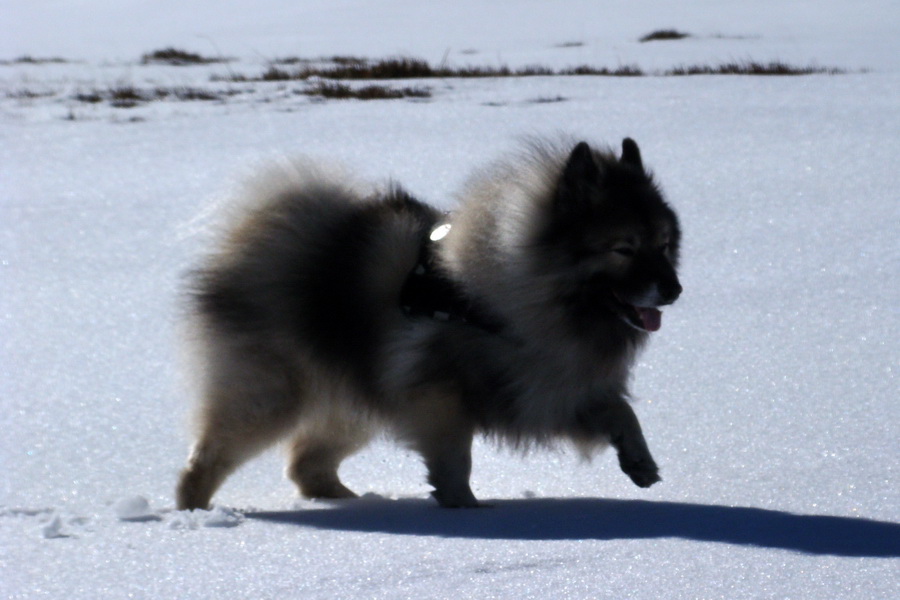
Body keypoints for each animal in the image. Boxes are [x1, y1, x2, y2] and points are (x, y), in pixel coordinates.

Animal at [176, 138, 684, 508]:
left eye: (663, 245)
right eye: (624, 249)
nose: (674, 289)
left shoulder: (548, 386)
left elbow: (620, 412)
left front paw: (640, 461)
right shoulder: (440, 395)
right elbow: (455, 460)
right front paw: (466, 509)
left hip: (355, 401)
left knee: (307, 464)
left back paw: (357, 502)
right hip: (272, 396)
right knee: (210, 459)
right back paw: (192, 514)